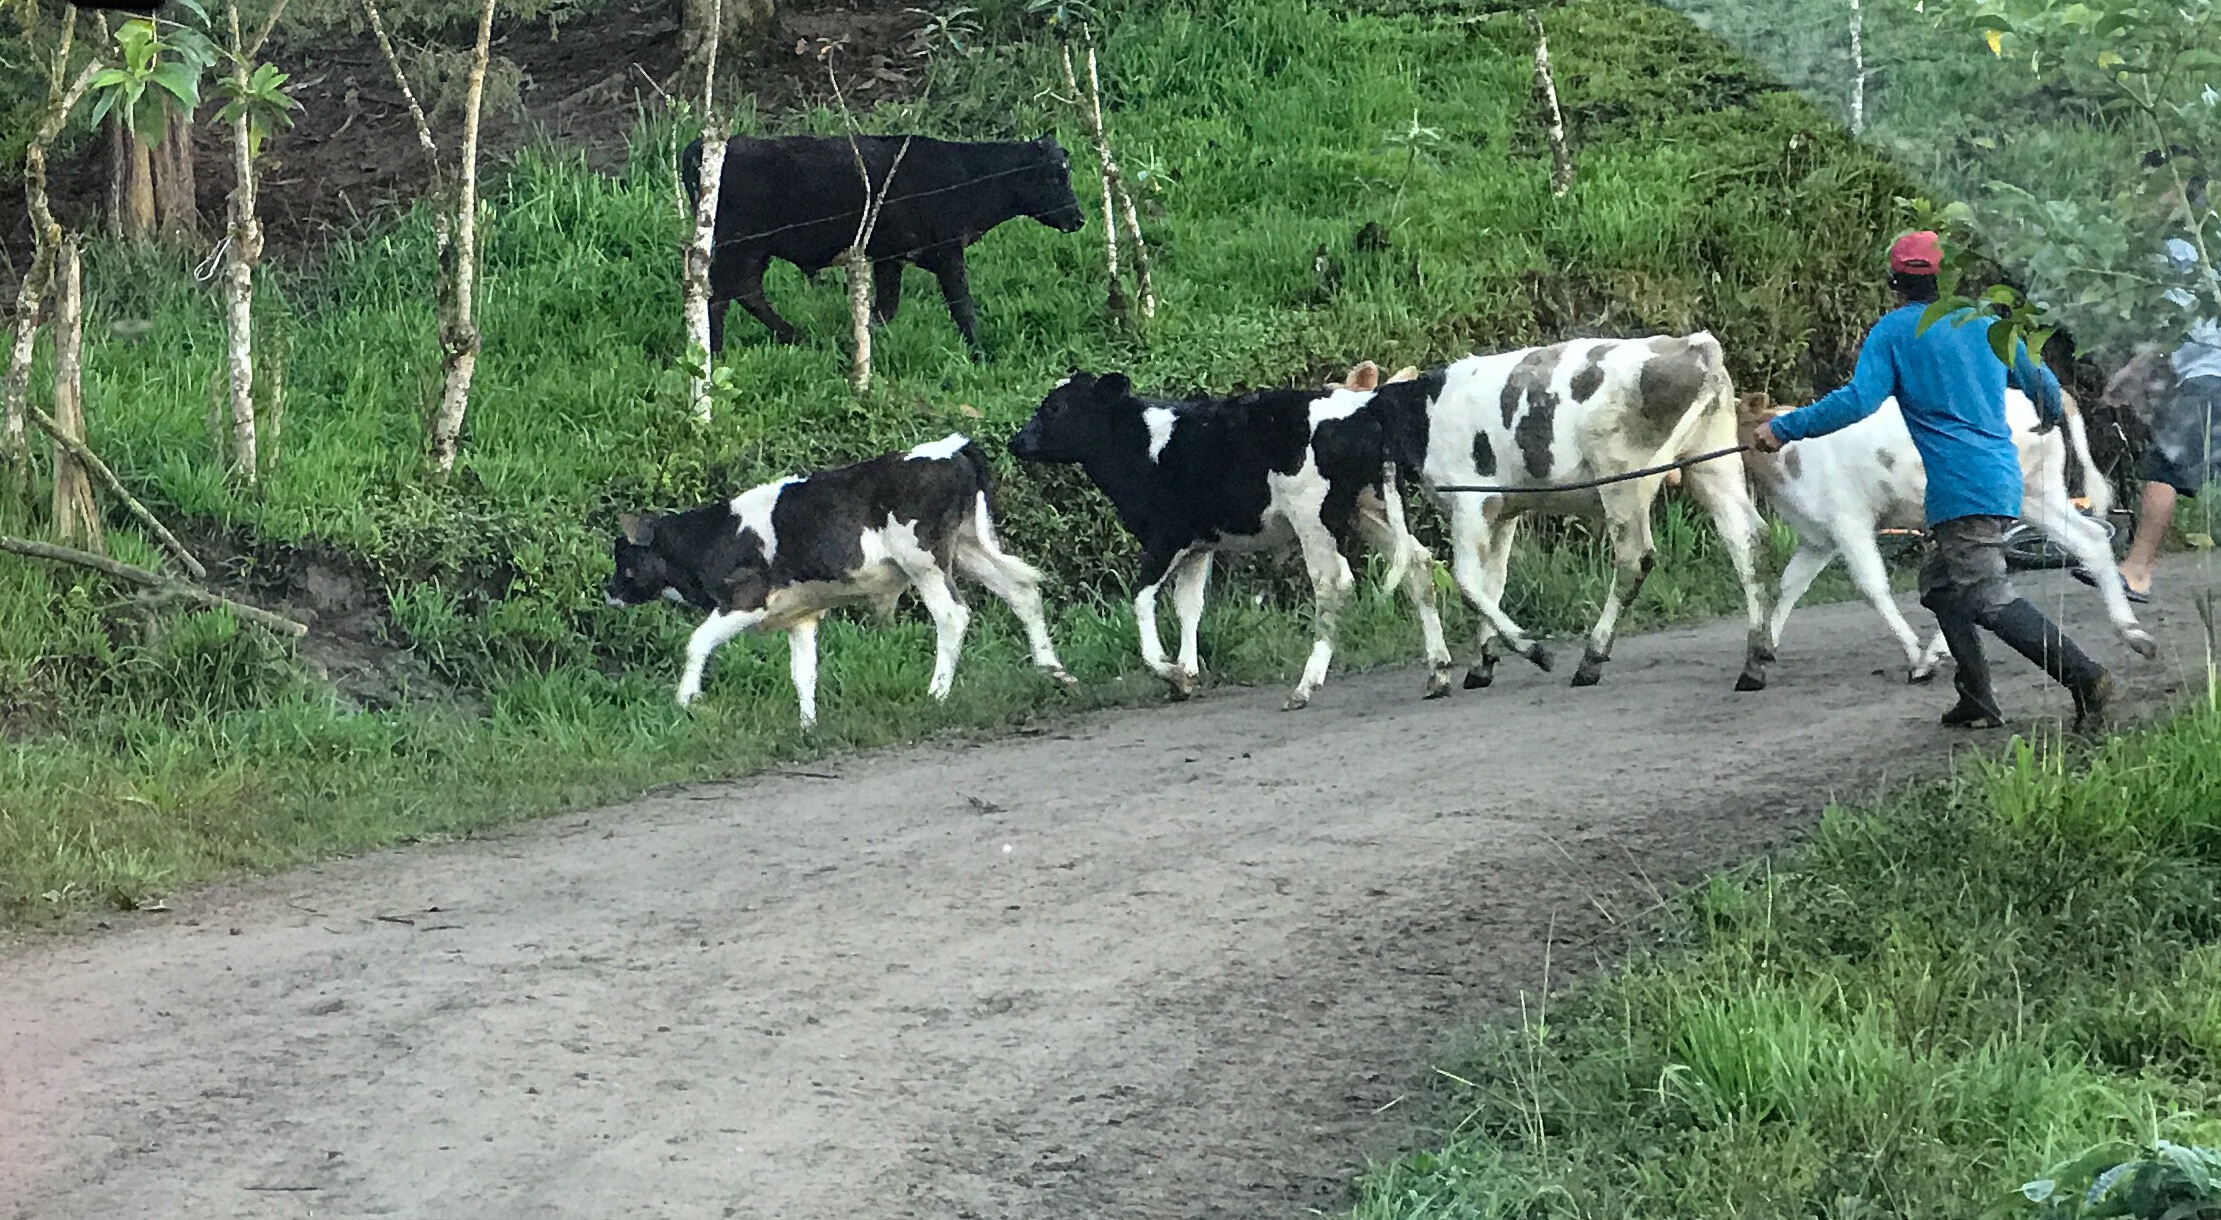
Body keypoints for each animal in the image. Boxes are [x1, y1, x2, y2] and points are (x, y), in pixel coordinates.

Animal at [604, 435, 1074, 728]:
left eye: (623, 557)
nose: (608, 591)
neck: (713, 536)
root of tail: (950, 449)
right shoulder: (800, 615)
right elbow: (803, 673)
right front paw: (808, 726)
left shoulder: (746, 599)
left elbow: (696, 642)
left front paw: (687, 699)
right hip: (968, 546)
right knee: (1021, 590)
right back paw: (1054, 671)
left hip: (924, 561)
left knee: (953, 616)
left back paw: (937, 693)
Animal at [680, 134, 1086, 357]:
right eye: (1054, 177)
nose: (1078, 219)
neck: (967, 176)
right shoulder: (948, 253)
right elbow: (963, 308)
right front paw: (980, 353)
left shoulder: (889, 258)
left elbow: (885, 309)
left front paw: (860, 342)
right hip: (740, 246)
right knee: (722, 297)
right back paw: (716, 351)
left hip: (751, 250)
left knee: (746, 293)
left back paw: (795, 336)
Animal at [1006, 370, 1454, 710]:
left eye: (1056, 407)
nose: (1015, 441)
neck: (1143, 446)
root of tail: (1363, 410)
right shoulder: (1200, 545)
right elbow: (1188, 605)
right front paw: (1187, 673)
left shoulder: (1167, 536)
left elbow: (1141, 597)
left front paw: (1169, 671)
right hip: (1371, 509)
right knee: (1418, 563)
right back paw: (1439, 672)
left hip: (1313, 517)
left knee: (1334, 583)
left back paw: (1305, 687)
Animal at [1360, 332, 1777, 691]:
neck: (1426, 409)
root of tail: (1694, 344)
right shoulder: (1503, 510)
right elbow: (1492, 583)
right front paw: (1483, 663)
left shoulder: (1472, 501)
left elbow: (1466, 582)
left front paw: (1531, 649)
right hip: (1712, 465)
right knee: (1748, 540)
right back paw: (1755, 660)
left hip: (1623, 480)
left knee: (1634, 559)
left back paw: (1592, 658)